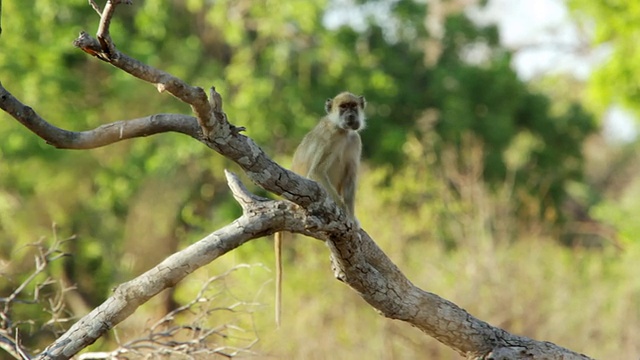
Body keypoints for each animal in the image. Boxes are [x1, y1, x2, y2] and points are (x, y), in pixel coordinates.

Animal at [274, 90, 368, 326]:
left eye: (353, 106)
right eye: (343, 107)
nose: (351, 115)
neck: (342, 130)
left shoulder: (354, 139)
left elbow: (351, 178)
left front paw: (352, 218)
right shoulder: (331, 137)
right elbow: (316, 172)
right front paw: (345, 215)